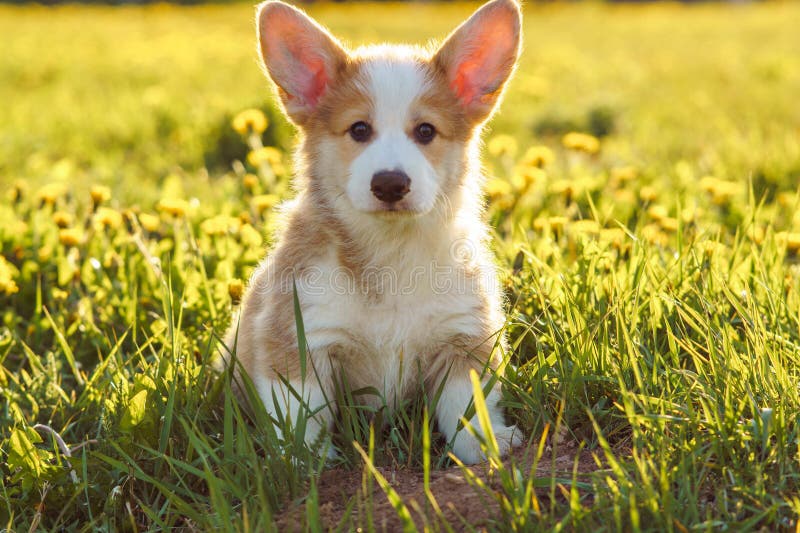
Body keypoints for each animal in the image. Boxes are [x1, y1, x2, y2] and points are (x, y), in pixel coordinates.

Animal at [223, 0, 524, 464]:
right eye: (359, 129)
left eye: (426, 131)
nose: (390, 184)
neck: (391, 250)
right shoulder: (301, 337)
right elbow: (300, 412)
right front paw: (301, 461)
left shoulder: (463, 335)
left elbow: (466, 404)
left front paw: (482, 447)